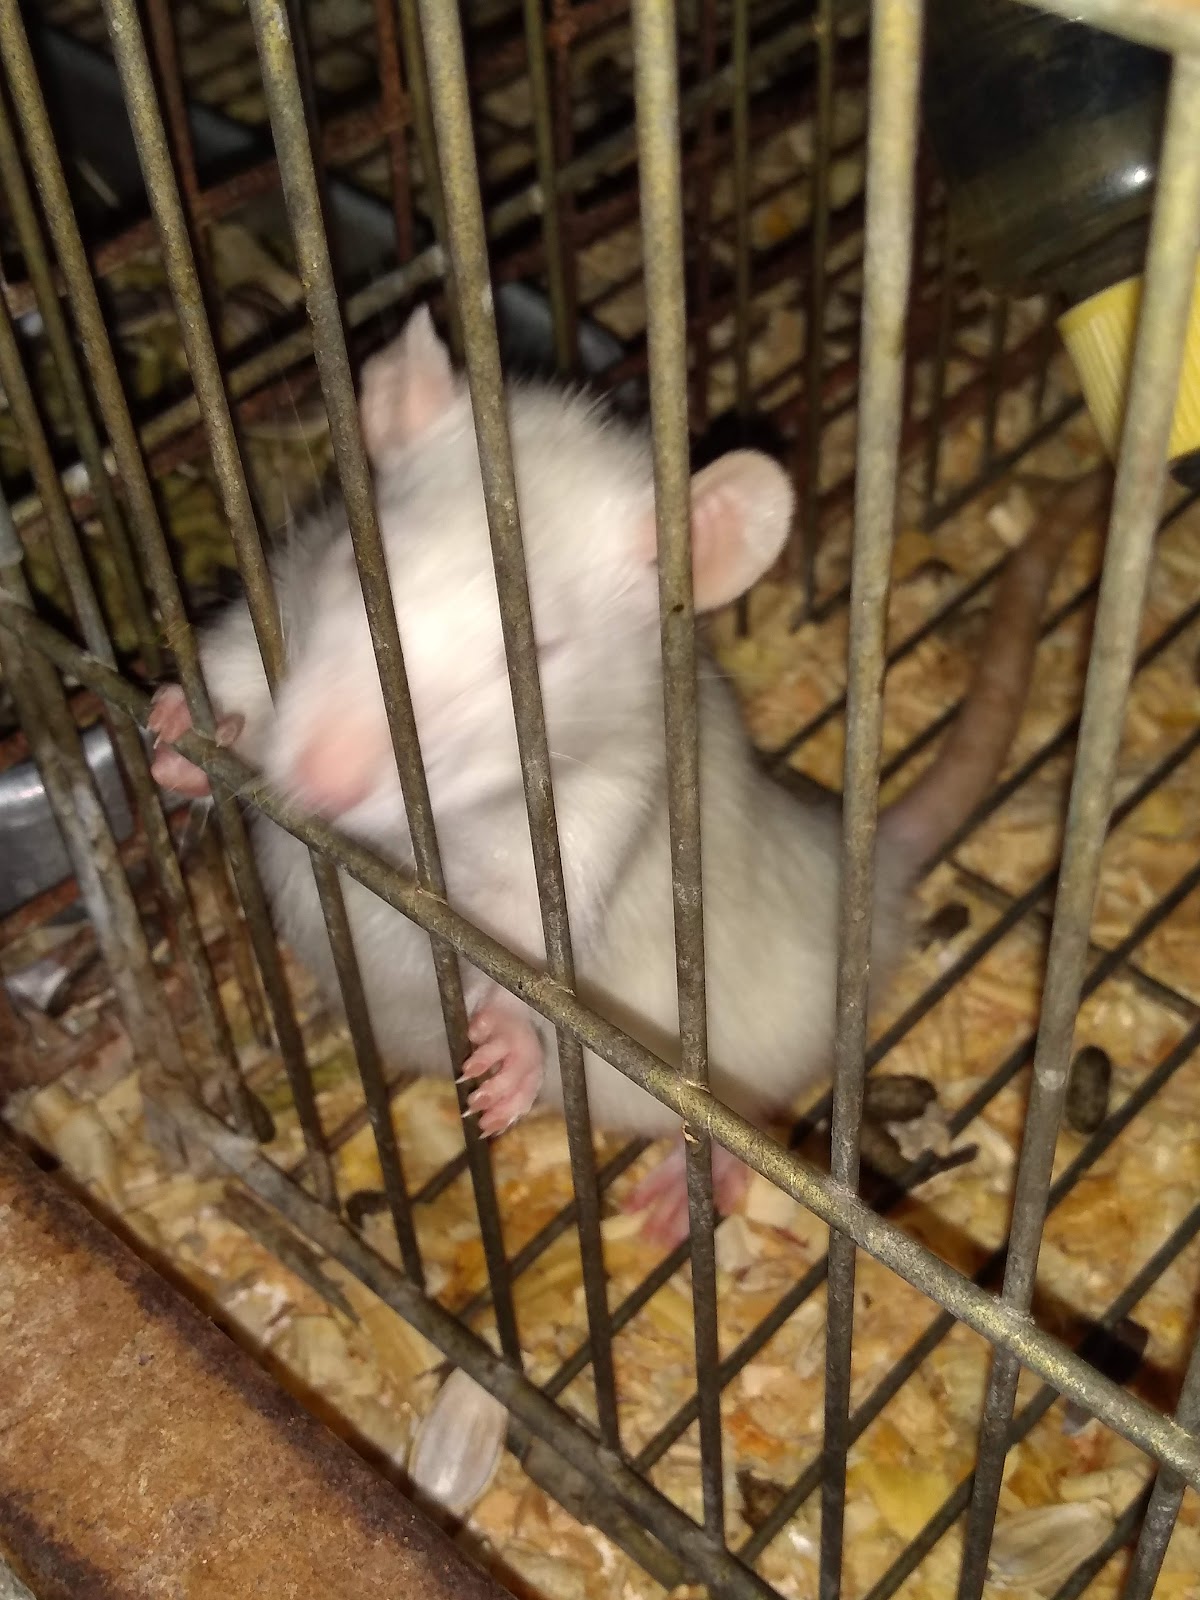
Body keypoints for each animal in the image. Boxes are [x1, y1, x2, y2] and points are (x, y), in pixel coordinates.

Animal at [149, 307, 1102, 1245]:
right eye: (362, 570)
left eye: (534, 653)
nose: (319, 779)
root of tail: (863, 866)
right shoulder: (278, 603)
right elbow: (236, 668)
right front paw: (177, 734)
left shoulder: (607, 802)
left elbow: (534, 933)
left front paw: (513, 1043)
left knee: (753, 1120)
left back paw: (698, 1185)